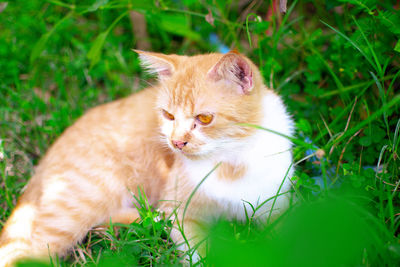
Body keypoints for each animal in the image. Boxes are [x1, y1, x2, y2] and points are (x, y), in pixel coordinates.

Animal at [0, 50, 294, 266]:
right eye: (168, 115)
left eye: (204, 118)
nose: (177, 142)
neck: (231, 160)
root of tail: (45, 162)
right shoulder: (182, 213)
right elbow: (199, 251)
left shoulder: (278, 207)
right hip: (79, 203)